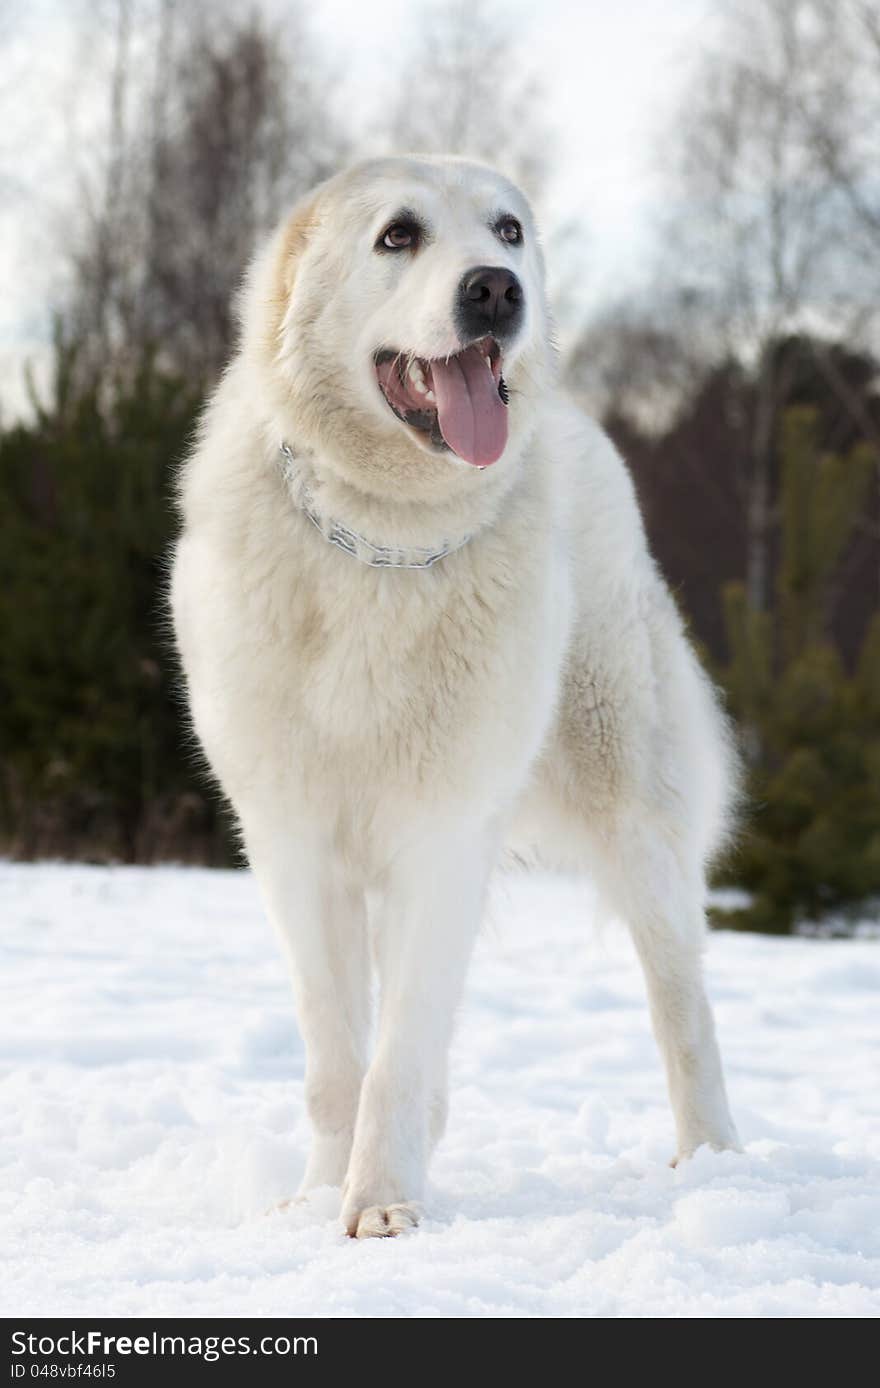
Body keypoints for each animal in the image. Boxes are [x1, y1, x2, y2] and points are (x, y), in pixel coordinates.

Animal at [167, 157, 738, 1243]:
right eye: (399, 235)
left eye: (507, 229)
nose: (496, 290)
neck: (383, 540)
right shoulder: (295, 844)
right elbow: (337, 1058)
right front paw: (321, 1197)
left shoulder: (440, 836)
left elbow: (395, 1055)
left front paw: (382, 1205)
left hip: (631, 817)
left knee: (680, 1002)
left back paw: (716, 1167)